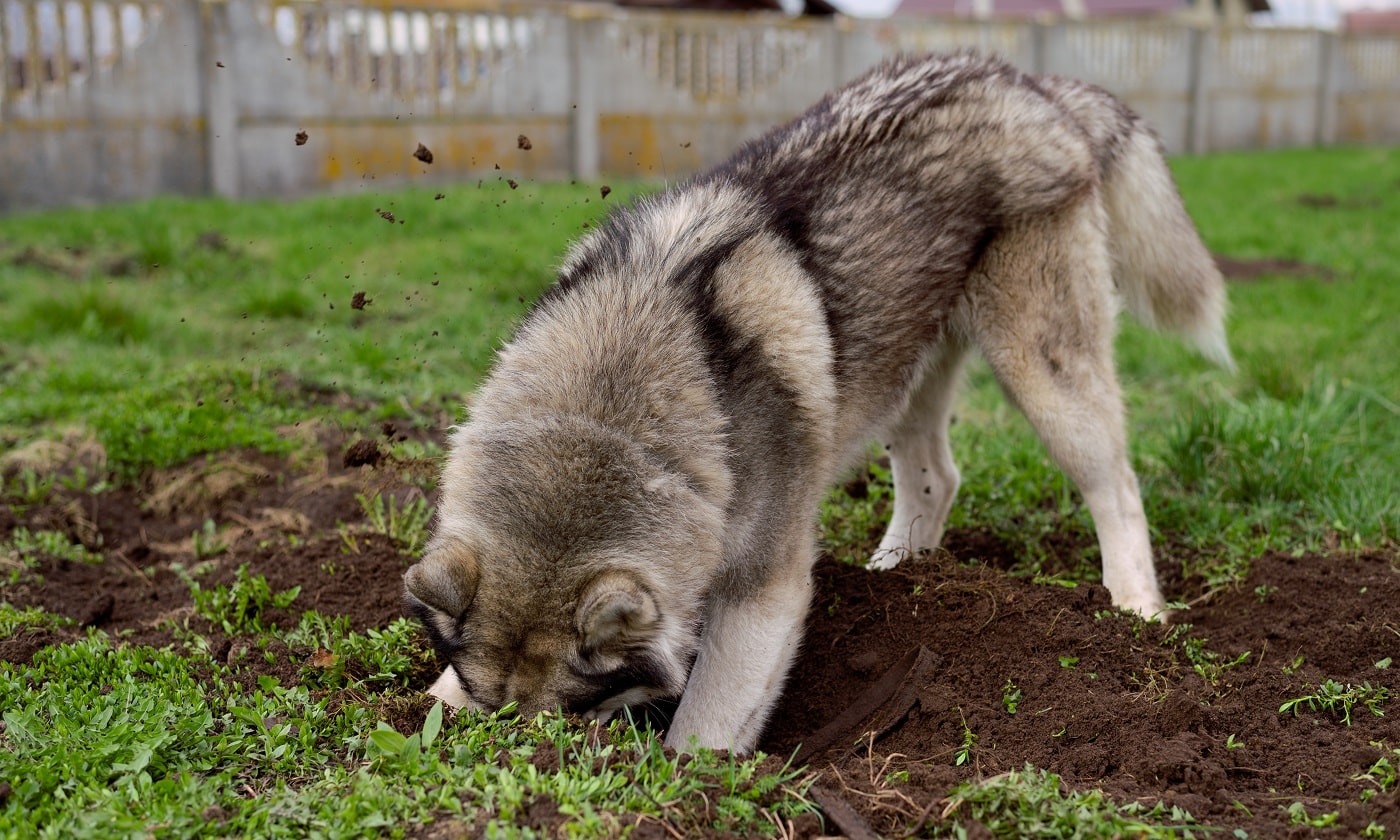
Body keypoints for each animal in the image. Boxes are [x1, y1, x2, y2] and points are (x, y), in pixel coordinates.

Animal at [400, 52, 1232, 750]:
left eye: (573, 713)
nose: (529, 757)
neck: (613, 404)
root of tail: (1030, 81)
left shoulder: (763, 593)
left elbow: (706, 723)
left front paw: (684, 789)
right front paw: (438, 700)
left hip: (1042, 371)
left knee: (1116, 486)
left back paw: (1134, 610)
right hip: (901, 376)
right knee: (938, 478)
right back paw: (896, 572)